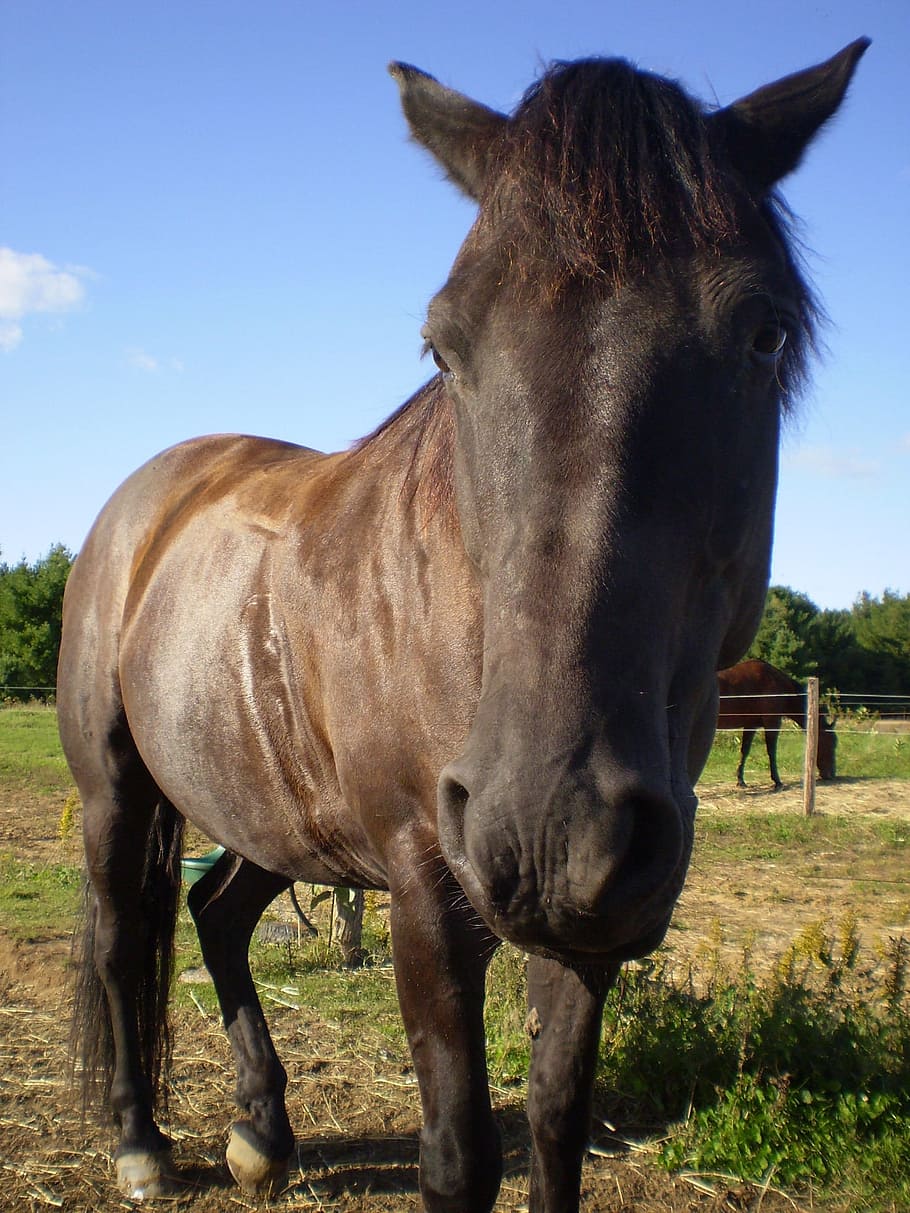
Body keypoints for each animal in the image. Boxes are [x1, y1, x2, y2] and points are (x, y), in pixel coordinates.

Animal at [717, 658, 837, 789]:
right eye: (830, 743)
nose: (831, 774)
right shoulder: (772, 723)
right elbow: (772, 752)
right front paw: (777, 781)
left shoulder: (751, 725)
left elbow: (745, 751)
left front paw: (740, 780)